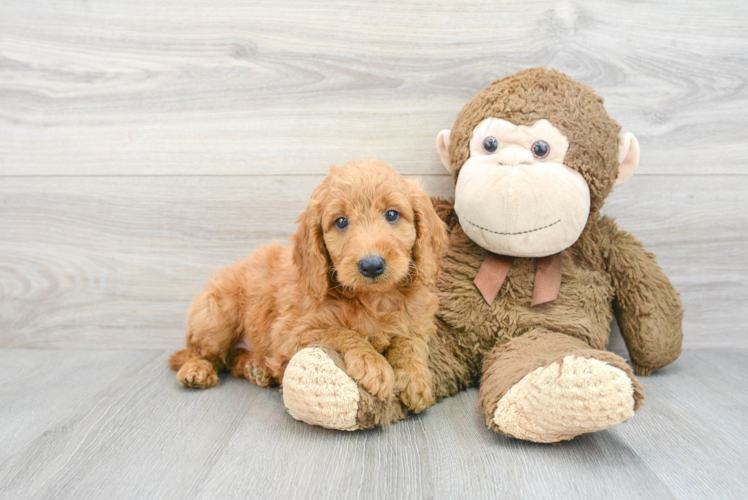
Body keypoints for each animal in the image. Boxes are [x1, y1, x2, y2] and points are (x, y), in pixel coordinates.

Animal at [169, 158, 448, 412]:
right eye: (341, 222)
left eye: (392, 214)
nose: (371, 265)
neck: (373, 299)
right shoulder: (291, 331)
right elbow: (341, 332)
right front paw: (373, 364)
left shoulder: (418, 321)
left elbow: (410, 342)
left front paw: (415, 379)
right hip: (216, 317)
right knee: (201, 353)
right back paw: (197, 370)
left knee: (231, 359)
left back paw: (255, 368)